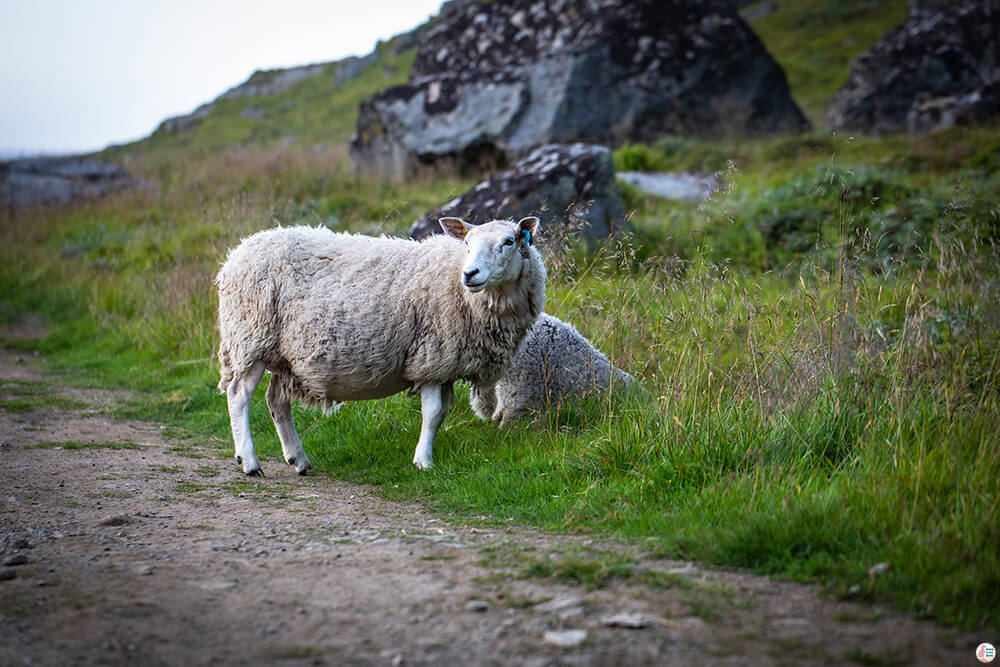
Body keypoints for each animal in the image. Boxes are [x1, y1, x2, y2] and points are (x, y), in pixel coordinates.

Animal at [215, 215, 548, 474]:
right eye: (467, 243)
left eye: (509, 241)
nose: (471, 274)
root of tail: (238, 252)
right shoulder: (430, 356)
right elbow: (432, 412)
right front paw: (423, 461)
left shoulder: (445, 365)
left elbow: (443, 412)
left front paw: (425, 452)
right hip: (250, 337)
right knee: (238, 395)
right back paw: (249, 462)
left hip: (283, 355)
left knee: (276, 401)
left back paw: (298, 460)